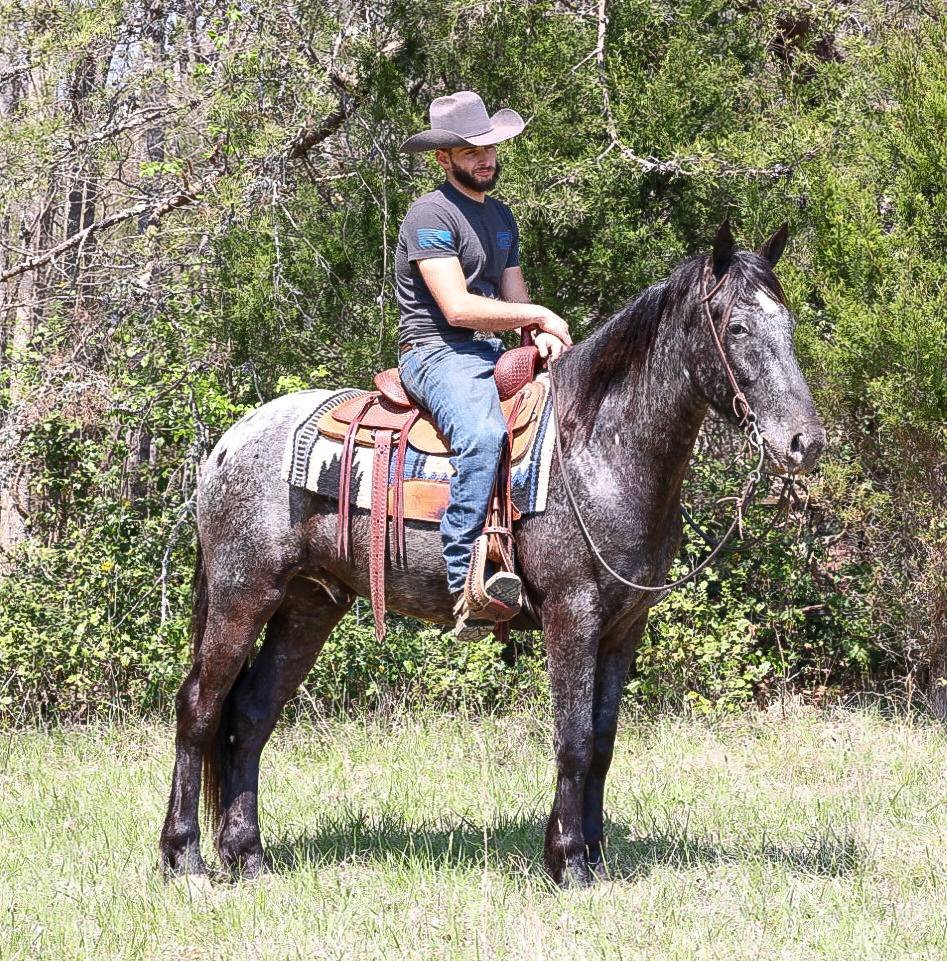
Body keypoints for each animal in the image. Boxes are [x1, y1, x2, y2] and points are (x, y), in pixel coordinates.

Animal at [159, 221, 825, 888]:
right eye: (737, 328)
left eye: (787, 325)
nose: (805, 443)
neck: (598, 451)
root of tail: (226, 446)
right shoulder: (572, 613)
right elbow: (573, 740)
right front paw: (568, 861)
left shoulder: (623, 625)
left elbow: (602, 742)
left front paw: (595, 854)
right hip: (242, 593)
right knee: (199, 709)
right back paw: (185, 856)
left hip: (307, 605)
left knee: (251, 716)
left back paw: (247, 855)